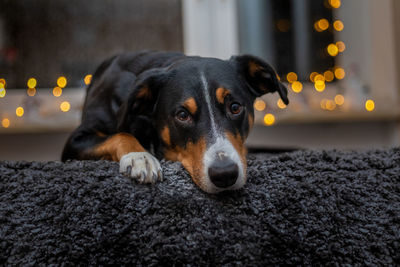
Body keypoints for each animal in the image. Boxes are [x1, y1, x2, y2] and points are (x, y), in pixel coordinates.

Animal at [61, 51, 288, 194]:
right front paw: (140, 157)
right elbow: (121, 134)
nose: (225, 174)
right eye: (182, 115)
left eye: (235, 107)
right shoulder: (76, 141)